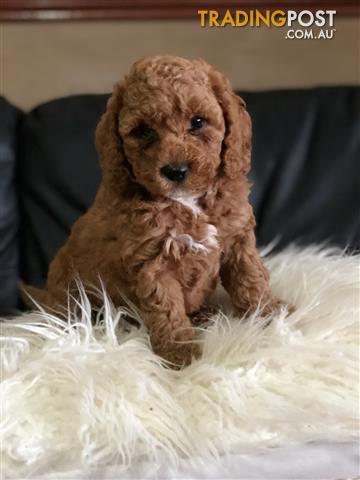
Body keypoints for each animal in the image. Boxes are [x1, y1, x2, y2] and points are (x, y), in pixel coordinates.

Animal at [24, 54, 290, 366]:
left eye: (198, 122)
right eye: (143, 132)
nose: (175, 171)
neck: (188, 202)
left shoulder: (237, 239)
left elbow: (251, 278)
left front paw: (271, 313)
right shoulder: (152, 259)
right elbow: (166, 306)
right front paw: (180, 352)